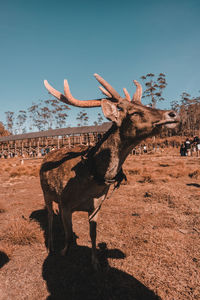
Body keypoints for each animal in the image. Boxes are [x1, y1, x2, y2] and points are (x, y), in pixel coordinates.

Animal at [39, 74, 179, 270]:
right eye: (133, 112)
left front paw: (95, 262)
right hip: (46, 193)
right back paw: (50, 245)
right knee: (50, 217)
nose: (172, 114)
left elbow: (93, 235)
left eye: (146, 105)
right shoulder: (65, 203)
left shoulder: (97, 206)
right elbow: (68, 234)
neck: (91, 178)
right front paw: (63, 252)